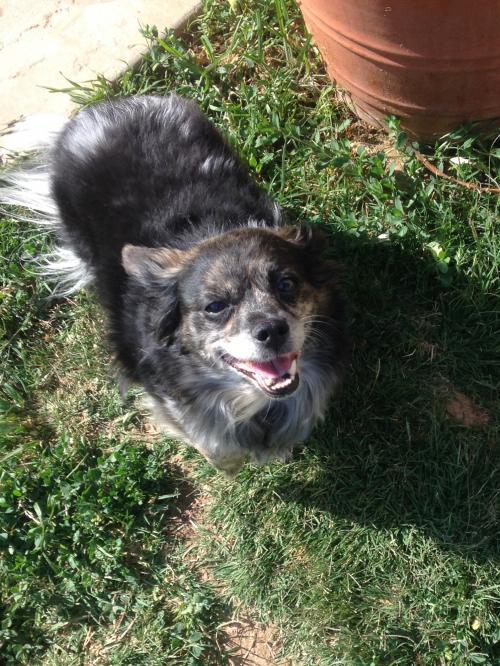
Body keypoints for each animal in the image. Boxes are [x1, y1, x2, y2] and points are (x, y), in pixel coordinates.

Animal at [0, 96, 348, 474]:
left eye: (286, 283)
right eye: (215, 307)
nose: (272, 330)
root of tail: (99, 110)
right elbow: (211, 443)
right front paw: (228, 461)